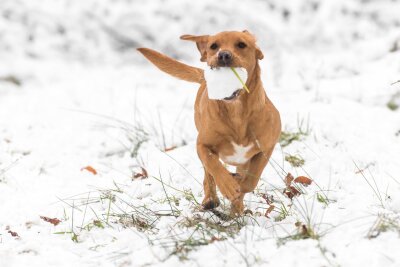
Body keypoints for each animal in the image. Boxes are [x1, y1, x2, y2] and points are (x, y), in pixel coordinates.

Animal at [138, 30, 282, 217]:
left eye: (241, 44)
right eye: (214, 46)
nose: (224, 55)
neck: (236, 113)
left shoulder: (266, 148)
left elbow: (251, 180)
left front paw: (238, 191)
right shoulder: (203, 145)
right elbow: (213, 165)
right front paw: (227, 185)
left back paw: (236, 208)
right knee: (208, 174)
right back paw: (210, 199)